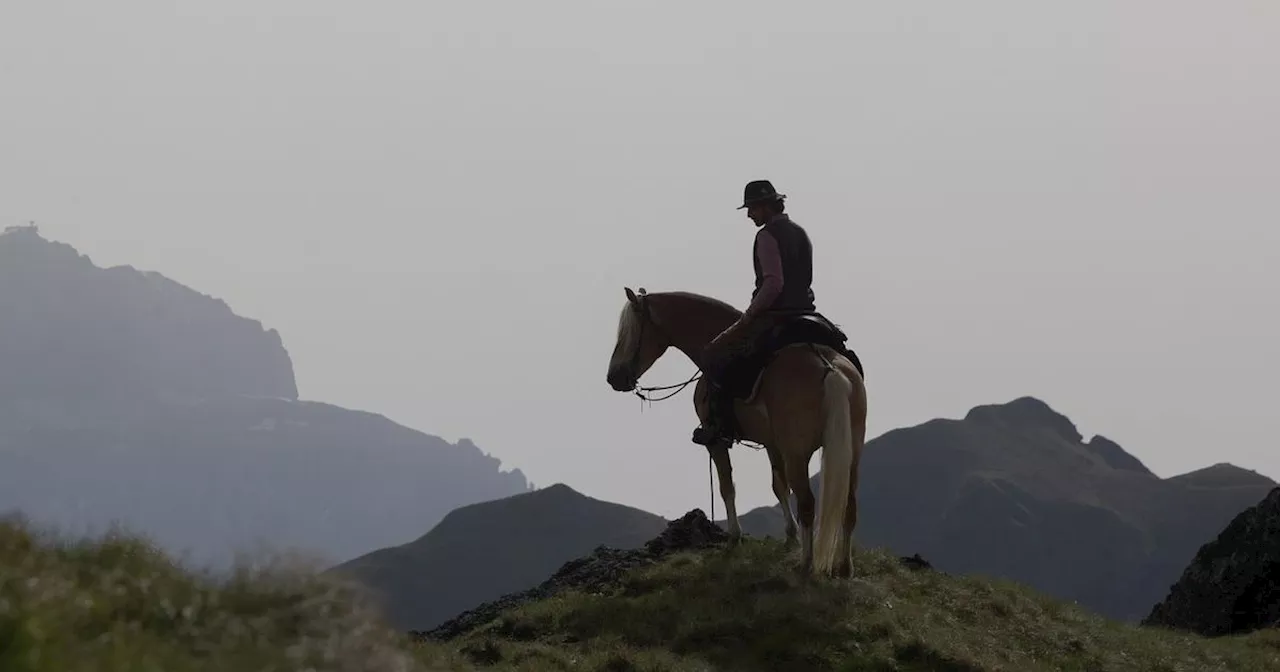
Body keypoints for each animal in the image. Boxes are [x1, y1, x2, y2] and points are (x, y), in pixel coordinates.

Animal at [606, 285, 870, 573]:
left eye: (630, 331)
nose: (613, 377)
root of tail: (829, 368)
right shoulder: (772, 443)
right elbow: (778, 485)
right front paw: (790, 536)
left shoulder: (716, 441)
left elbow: (727, 486)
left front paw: (734, 537)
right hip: (850, 453)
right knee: (849, 505)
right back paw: (844, 567)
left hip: (797, 454)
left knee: (808, 504)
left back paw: (806, 565)